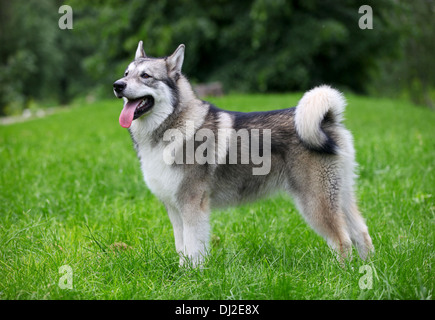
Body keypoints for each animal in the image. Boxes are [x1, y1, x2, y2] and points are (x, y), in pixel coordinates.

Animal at [113, 42, 374, 268]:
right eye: (126, 73)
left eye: (146, 76)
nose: (117, 85)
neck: (173, 124)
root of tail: (328, 119)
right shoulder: (175, 209)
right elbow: (182, 249)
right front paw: (182, 274)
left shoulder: (192, 206)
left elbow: (194, 250)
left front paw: (193, 277)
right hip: (340, 195)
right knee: (361, 233)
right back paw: (366, 271)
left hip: (315, 201)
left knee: (342, 241)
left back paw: (340, 273)